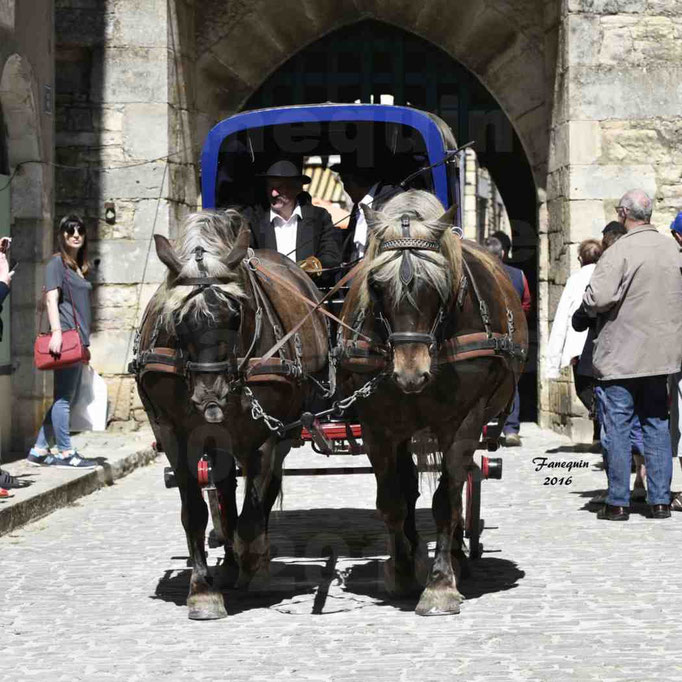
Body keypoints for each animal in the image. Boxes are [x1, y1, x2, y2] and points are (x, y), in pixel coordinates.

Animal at [133, 210, 330, 620]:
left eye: (235, 314)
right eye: (178, 318)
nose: (211, 396)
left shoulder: (270, 432)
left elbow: (255, 508)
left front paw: (252, 560)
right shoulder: (174, 432)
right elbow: (195, 509)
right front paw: (203, 591)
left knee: (263, 490)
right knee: (224, 489)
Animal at [334, 189, 524, 612]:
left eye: (438, 287)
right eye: (376, 285)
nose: (410, 374)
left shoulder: (464, 421)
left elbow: (446, 501)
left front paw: (440, 584)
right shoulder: (379, 426)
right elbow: (392, 499)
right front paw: (403, 570)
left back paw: (453, 557)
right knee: (407, 488)